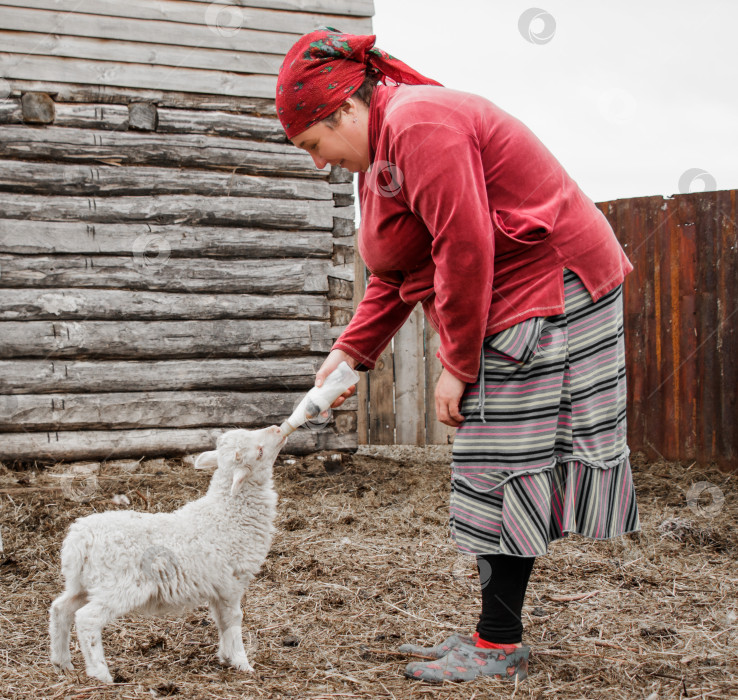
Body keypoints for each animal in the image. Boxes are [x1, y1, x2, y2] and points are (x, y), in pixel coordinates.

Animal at [49, 426, 284, 684]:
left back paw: (62, 662)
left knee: (60, 609)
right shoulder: (232, 583)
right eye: (259, 452)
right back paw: (100, 673)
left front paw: (226, 657)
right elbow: (234, 620)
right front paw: (243, 663)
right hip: (119, 587)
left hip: (83, 583)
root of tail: (81, 538)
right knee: (86, 619)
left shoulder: (217, 587)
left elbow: (221, 621)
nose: (277, 429)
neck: (227, 512)